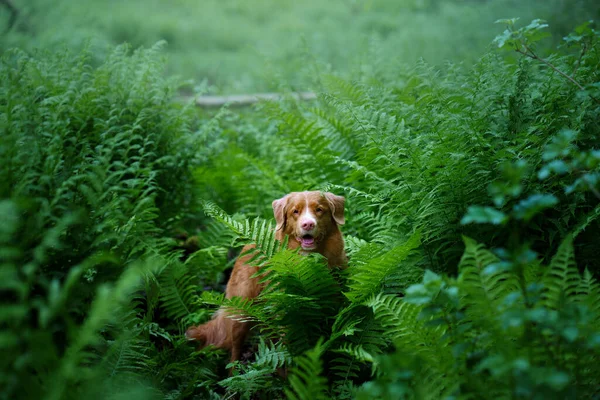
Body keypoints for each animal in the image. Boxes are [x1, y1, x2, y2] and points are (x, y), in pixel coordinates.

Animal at [186, 192, 346, 364]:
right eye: (295, 212)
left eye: (319, 210)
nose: (308, 224)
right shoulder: (286, 307)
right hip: (241, 309)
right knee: (235, 351)